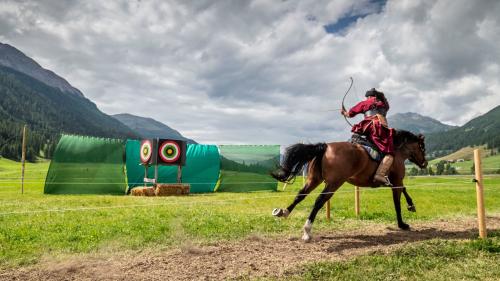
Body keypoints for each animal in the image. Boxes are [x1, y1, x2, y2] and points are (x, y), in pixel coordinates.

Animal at [272, 129, 428, 241]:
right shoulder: (397, 181)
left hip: (314, 179)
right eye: (422, 147)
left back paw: (284, 212)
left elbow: (404, 190)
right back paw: (307, 231)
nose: (425, 163)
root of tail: (326, 147)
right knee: (319, 201)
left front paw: (411, 206)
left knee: (301, 195)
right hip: (334, 183)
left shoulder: (391, 182)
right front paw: (402, 223)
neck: (398, 151)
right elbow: (398, 202)